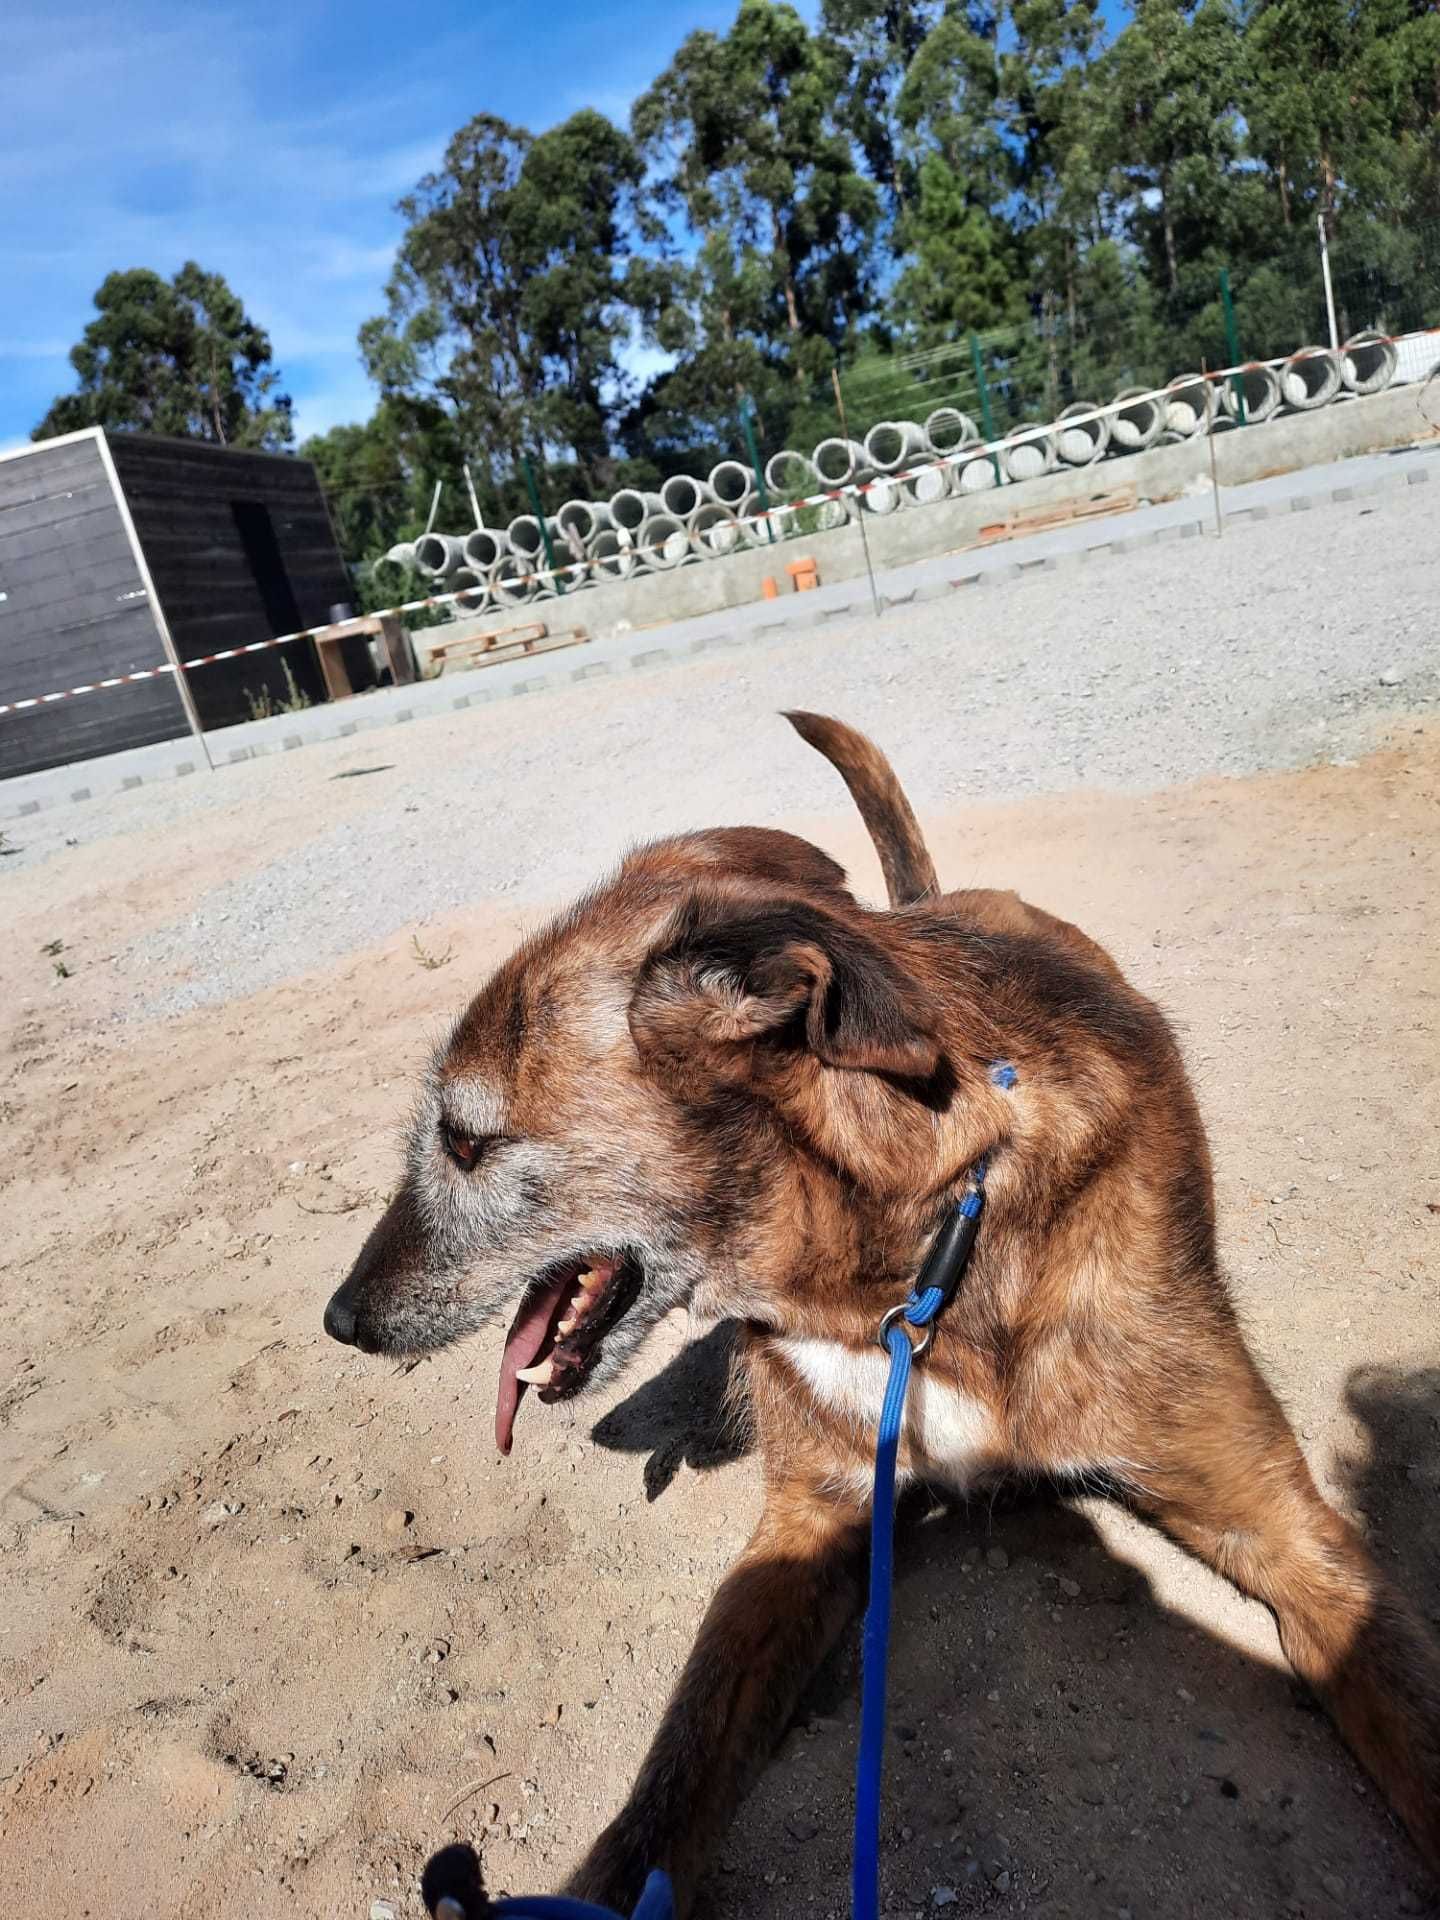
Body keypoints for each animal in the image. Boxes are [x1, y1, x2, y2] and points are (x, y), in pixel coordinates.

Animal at [326, 718, 1440, 1904]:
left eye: (466, 1141)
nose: (341, 1320)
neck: (917, 1263)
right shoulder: (808, 1522)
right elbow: (668, 1783)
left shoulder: (1283, 1527)